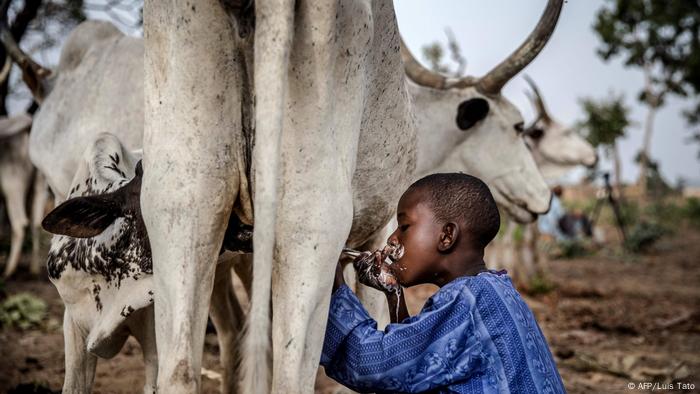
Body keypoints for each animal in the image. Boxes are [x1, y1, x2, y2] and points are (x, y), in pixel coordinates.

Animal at [0, 114, 47, 278]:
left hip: (12, 186)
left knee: (19, 223)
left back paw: (9, 271)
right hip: (39, 187)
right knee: (36, 223)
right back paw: (33, 269)